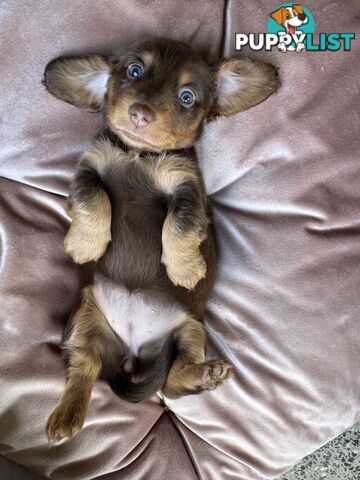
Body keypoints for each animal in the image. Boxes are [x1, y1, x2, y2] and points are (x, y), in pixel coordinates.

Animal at [43, 37, 278, 440]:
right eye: (135, 71)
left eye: (186, 96)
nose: (140, 114)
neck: (140, 154)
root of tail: (132, 348)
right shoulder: (90, 168)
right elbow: (95, 199)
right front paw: (86, 244)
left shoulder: (185, 188)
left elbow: (178, 225)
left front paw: (185, 269)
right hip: (83, 316)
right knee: (85, 366)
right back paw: (66, 416)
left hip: (190, 330)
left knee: (172, 380)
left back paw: (206, 374)